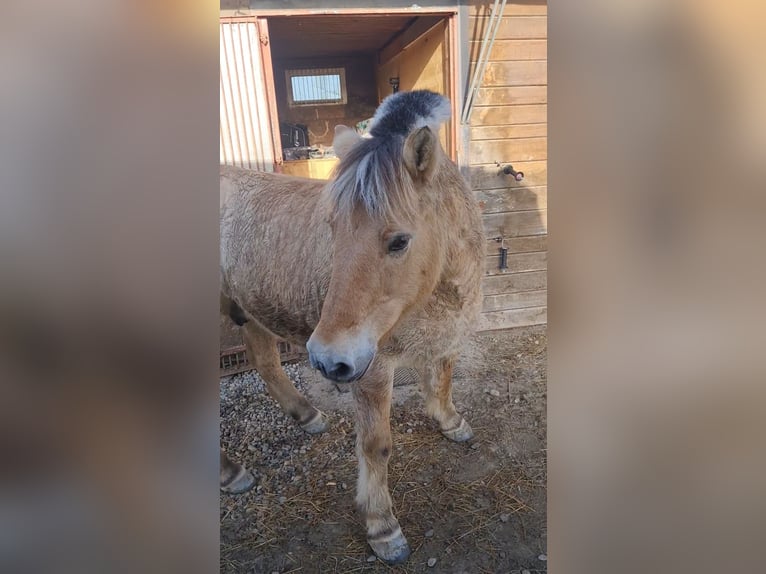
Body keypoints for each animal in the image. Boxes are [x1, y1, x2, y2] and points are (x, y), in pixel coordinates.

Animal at [219, 92, 486, 564]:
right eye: (332, 229)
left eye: (399, 241)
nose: (327, 360)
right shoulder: (372, 369)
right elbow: (376, 445)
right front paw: (383, 528)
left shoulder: (445, 336)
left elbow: (442, 380)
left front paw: (451, 422)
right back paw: (231, 473)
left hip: (248, 309)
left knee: (266, 362)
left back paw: (306, 415)